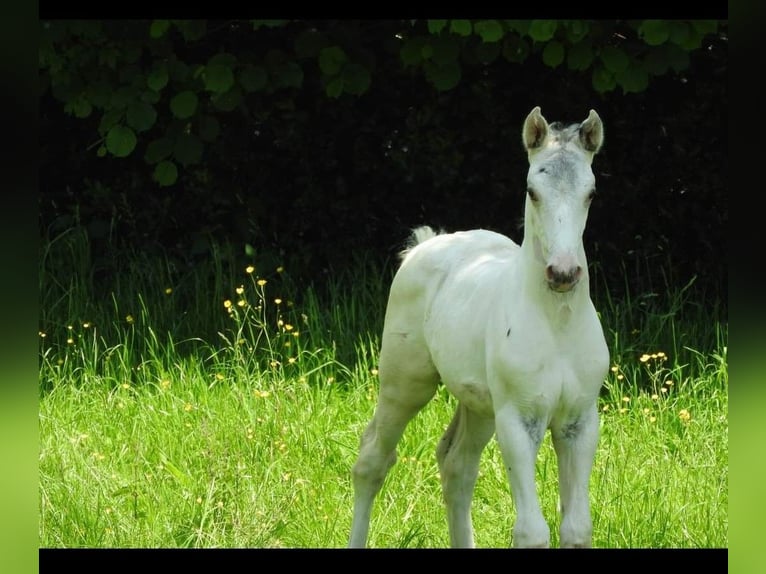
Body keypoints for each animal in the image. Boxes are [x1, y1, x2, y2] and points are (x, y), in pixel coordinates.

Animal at [350, 107, 612, 548]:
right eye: (532, 190)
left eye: (591, 193)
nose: (562, 273)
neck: (556, 324)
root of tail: (426, 244)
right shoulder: (517, 420)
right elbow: (532, 531)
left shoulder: (579, 422)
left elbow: (577, 528)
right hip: (405, 383)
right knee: (372, 459)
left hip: (479, 405)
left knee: (456, 465)